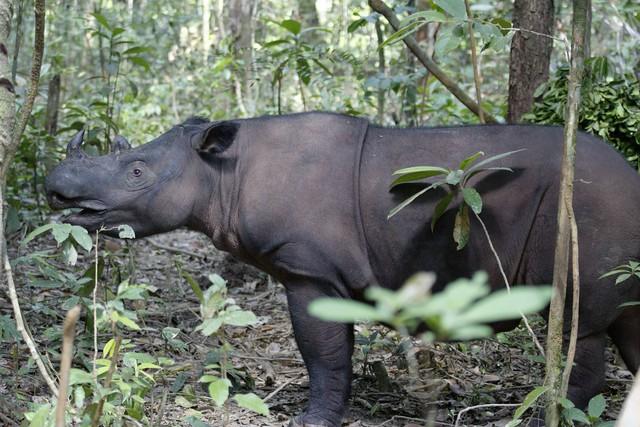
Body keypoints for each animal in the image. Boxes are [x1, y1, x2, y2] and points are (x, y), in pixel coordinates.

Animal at [46, 112, 640, 426]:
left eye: (136, 172)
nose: (55, 188)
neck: (220, 173)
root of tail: (631, 175)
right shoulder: (322, 270)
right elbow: (337, 350)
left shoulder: (307, 268)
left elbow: (322, 351)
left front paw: (312, 421)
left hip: (590, 209)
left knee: (583, 323)